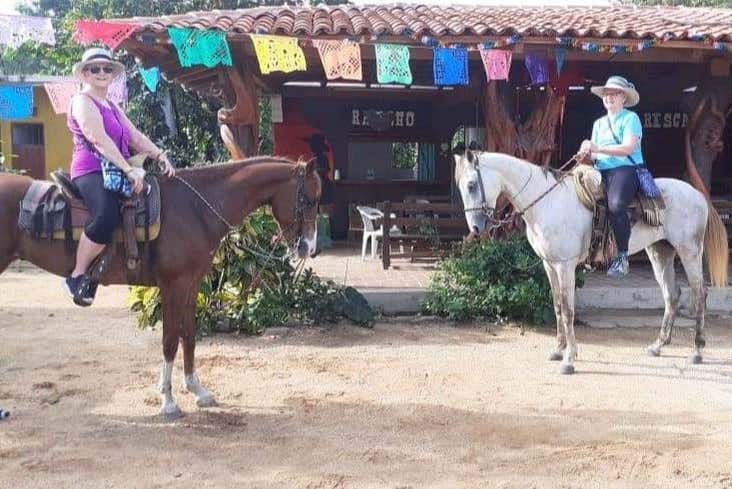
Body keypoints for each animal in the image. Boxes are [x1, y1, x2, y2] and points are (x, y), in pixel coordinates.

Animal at [0, 156, 321, 418]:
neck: (195, 209)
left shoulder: (191, 284)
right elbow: (169, 341)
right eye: (308, 199)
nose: (310, 248)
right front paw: (168, 401)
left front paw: (197, 390)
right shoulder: (172, 286)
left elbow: (189, 335)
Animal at [453, 150, 728, 375]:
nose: (476, 228)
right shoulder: (549, 265)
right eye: (461, 187)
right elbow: (557, 306)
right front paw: (558, 350)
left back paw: (697, 351)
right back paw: (658, 345)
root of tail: (698, 195)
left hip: (689, 251)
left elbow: (568, 310)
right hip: (660, 252)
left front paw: (569, 360)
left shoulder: (565, 266)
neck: (547, 203)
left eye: (471, 185)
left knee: (699, 293)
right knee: (672, 295)